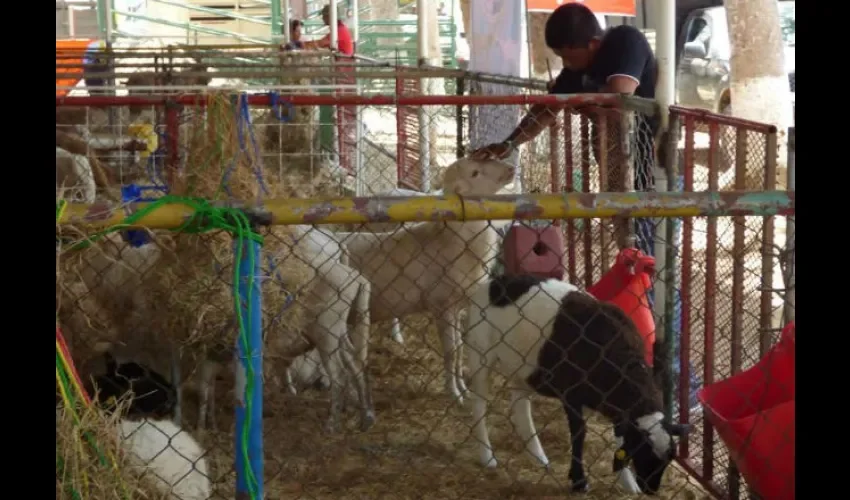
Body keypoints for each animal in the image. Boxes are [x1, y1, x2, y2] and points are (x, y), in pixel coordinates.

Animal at [464, 276, 688, 494]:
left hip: (523, 368)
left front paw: (628, 483)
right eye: (642, 452)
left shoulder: (619, 408)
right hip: (480, 353)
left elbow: (619, 438)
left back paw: (538, 456)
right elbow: (579, 433)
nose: (651, 489)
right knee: (479, 403)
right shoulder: (571, 394)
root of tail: (492, 283)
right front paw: (579, 481)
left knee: (520, 407)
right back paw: (487, 456)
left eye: (669, 457)